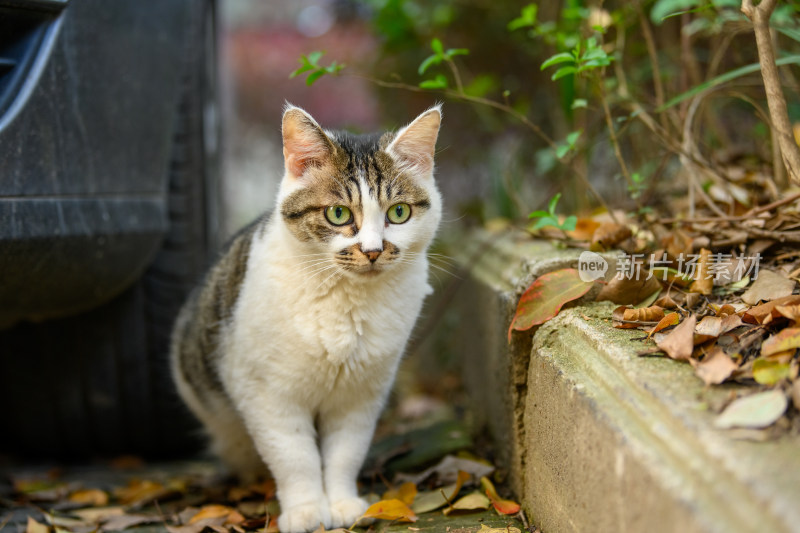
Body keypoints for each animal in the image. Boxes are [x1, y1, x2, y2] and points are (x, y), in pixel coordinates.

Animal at [170, 105, 444, 532]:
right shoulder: (269, 395)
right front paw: (306, 510)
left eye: (398, 213)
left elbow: (345, 453)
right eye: (338, 214)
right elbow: (295, 457)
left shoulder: (361, 396)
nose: (372, 251)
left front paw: (343, 503)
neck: (346, 305)